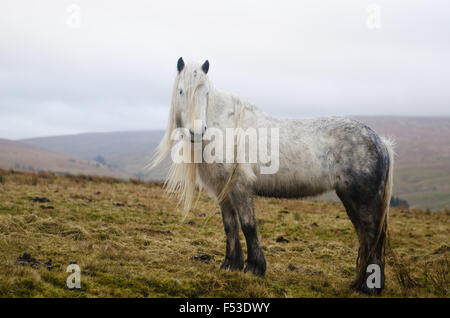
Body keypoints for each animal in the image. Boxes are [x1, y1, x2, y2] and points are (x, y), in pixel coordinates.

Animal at [152, 57, 394, 296]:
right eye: (181, 91)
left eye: (206, 93)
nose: (197, 131)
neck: (226, 127)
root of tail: (381, 142)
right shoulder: (224, 192)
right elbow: (230, 225)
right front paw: (230, 265)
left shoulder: (240, 188)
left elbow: (248, 225)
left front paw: (254, 268)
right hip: (350, 200)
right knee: (365, 238)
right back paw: (360, 284)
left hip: (363, 201)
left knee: (371, 236)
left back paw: (368, 288)